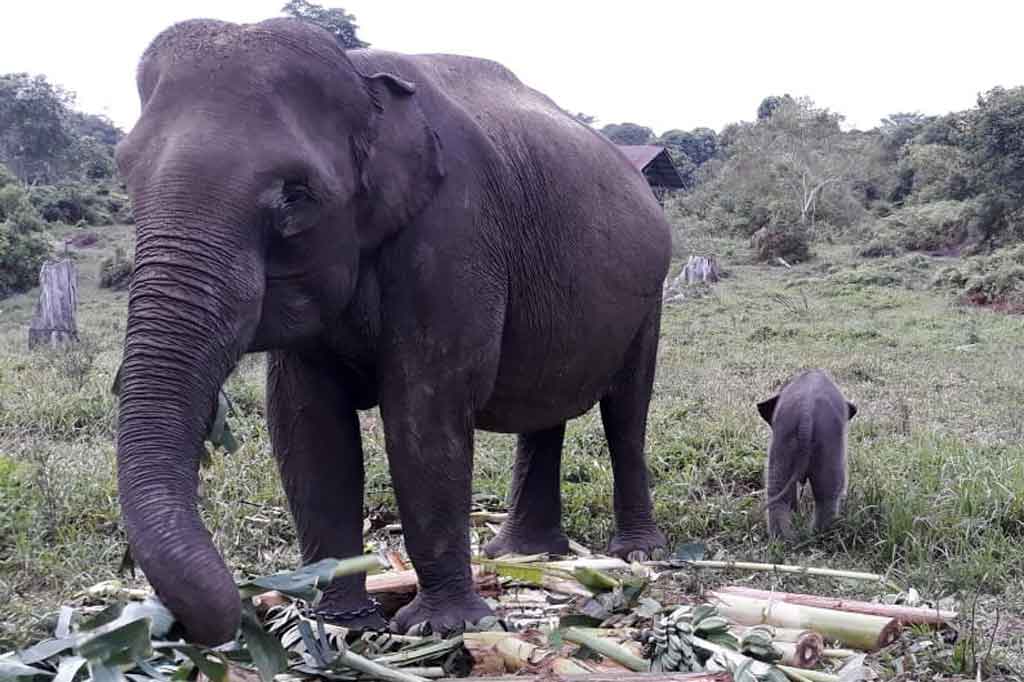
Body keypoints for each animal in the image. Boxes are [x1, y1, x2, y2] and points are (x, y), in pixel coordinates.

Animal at [113, 16, 670, 646]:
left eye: (295, 196)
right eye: (126, 175)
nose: (233, 606)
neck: (361, 79)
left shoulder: (455, 231)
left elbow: (423, 408)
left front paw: (443, 627)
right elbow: (307, 424)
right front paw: (339, 626)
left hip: (650, 295)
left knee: (625, 412)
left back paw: (636, 556)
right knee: (543, 411)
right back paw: (521, 556)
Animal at [756, 369, 857, 540]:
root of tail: (806, 414)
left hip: (783, 444)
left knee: (778, 493)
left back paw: (783, 538)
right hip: (828, 447)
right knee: (827, 496)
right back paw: (819, 535)